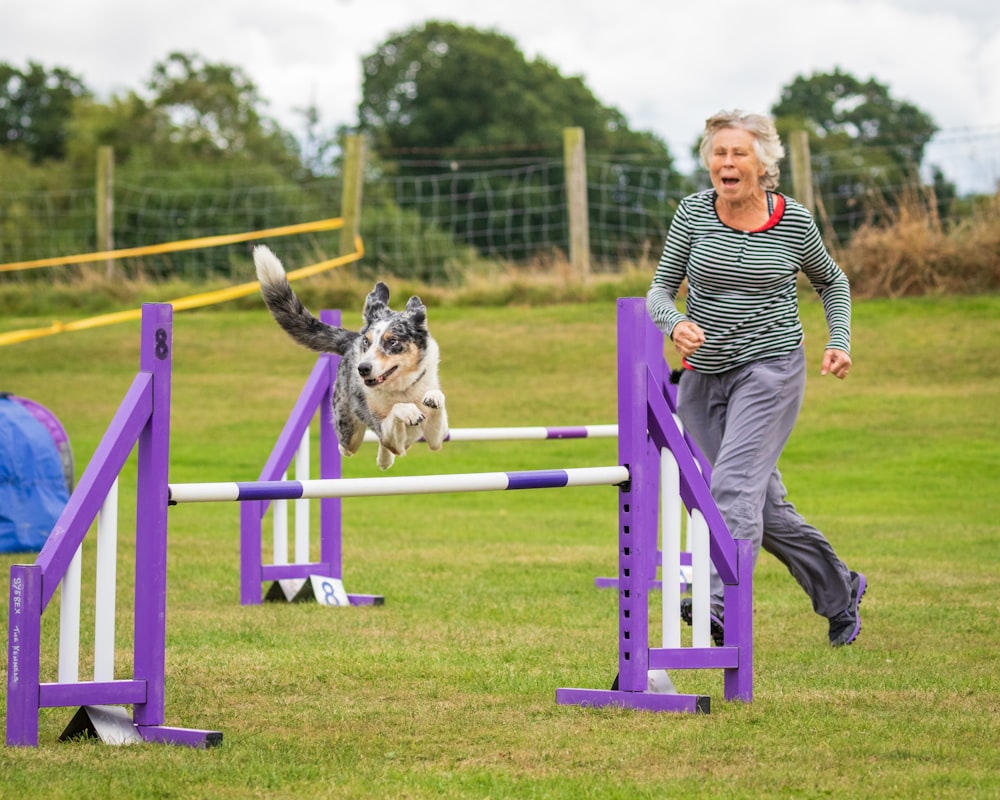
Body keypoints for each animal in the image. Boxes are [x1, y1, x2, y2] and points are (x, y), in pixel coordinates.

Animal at [254, 244, 450, 468]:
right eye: (368, 342)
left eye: (392, 342)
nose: (363, 368)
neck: (402, 389)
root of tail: (351, 339)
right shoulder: (387, 434)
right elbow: (395, 413)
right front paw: (408, 411)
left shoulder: (436, 439)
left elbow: (437, 408)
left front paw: (433, 398)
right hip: (350, 433)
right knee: (346, 446)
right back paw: (381, 458)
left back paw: (384, 461)